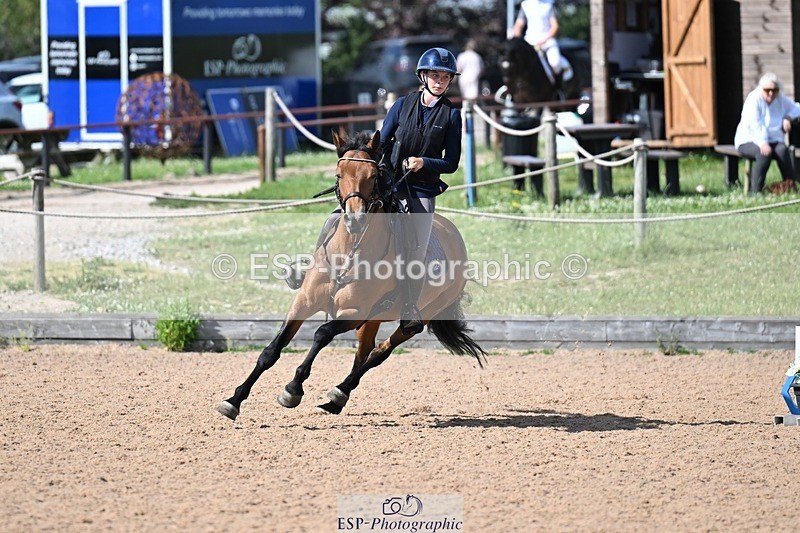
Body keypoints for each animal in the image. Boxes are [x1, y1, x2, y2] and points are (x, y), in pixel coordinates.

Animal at [216, 130, 485, 420]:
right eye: (338, 175)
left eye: (373, 176)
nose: (355, 220)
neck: (348, 253)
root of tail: (455, 236)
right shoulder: (304, 302)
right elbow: (271, 350)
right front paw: (233, 400)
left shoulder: (355, 312)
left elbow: (322, 333)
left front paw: (293, 389)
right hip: (373, 319)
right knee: (364, 352)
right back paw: (335, 400)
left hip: (414, 318)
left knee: (379, 353)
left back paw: (338, 392)